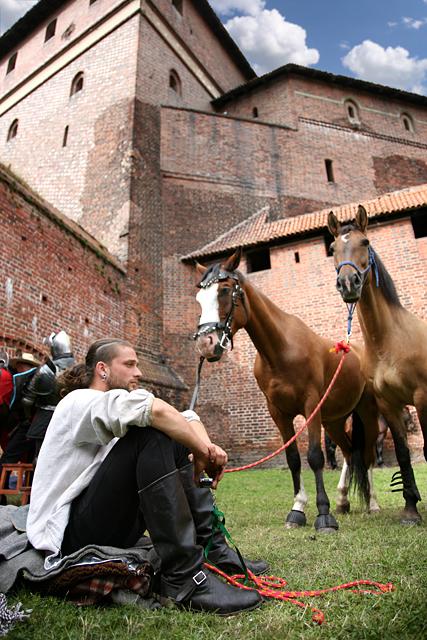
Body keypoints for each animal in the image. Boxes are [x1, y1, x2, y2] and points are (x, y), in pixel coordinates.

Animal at [193, 248, 378, 532]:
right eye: (199, 298)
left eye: (224, 290)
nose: (206, 344)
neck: (280, 351)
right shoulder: (278, 412)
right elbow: (292, 458)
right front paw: (297, 509)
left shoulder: (311, 406)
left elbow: (314, 456)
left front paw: (323, 515)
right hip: (334, 421)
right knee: (350, 452)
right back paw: (343, 500)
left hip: (366, 413)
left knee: (366, 453)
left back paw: (372, 503)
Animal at [330, 208, 426, 524]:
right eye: (332, 248)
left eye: (366, 241)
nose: (348, 283)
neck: (389, 341)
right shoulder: (388, 404)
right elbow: (403, 453)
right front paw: (410, 509)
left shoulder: (421, 398)